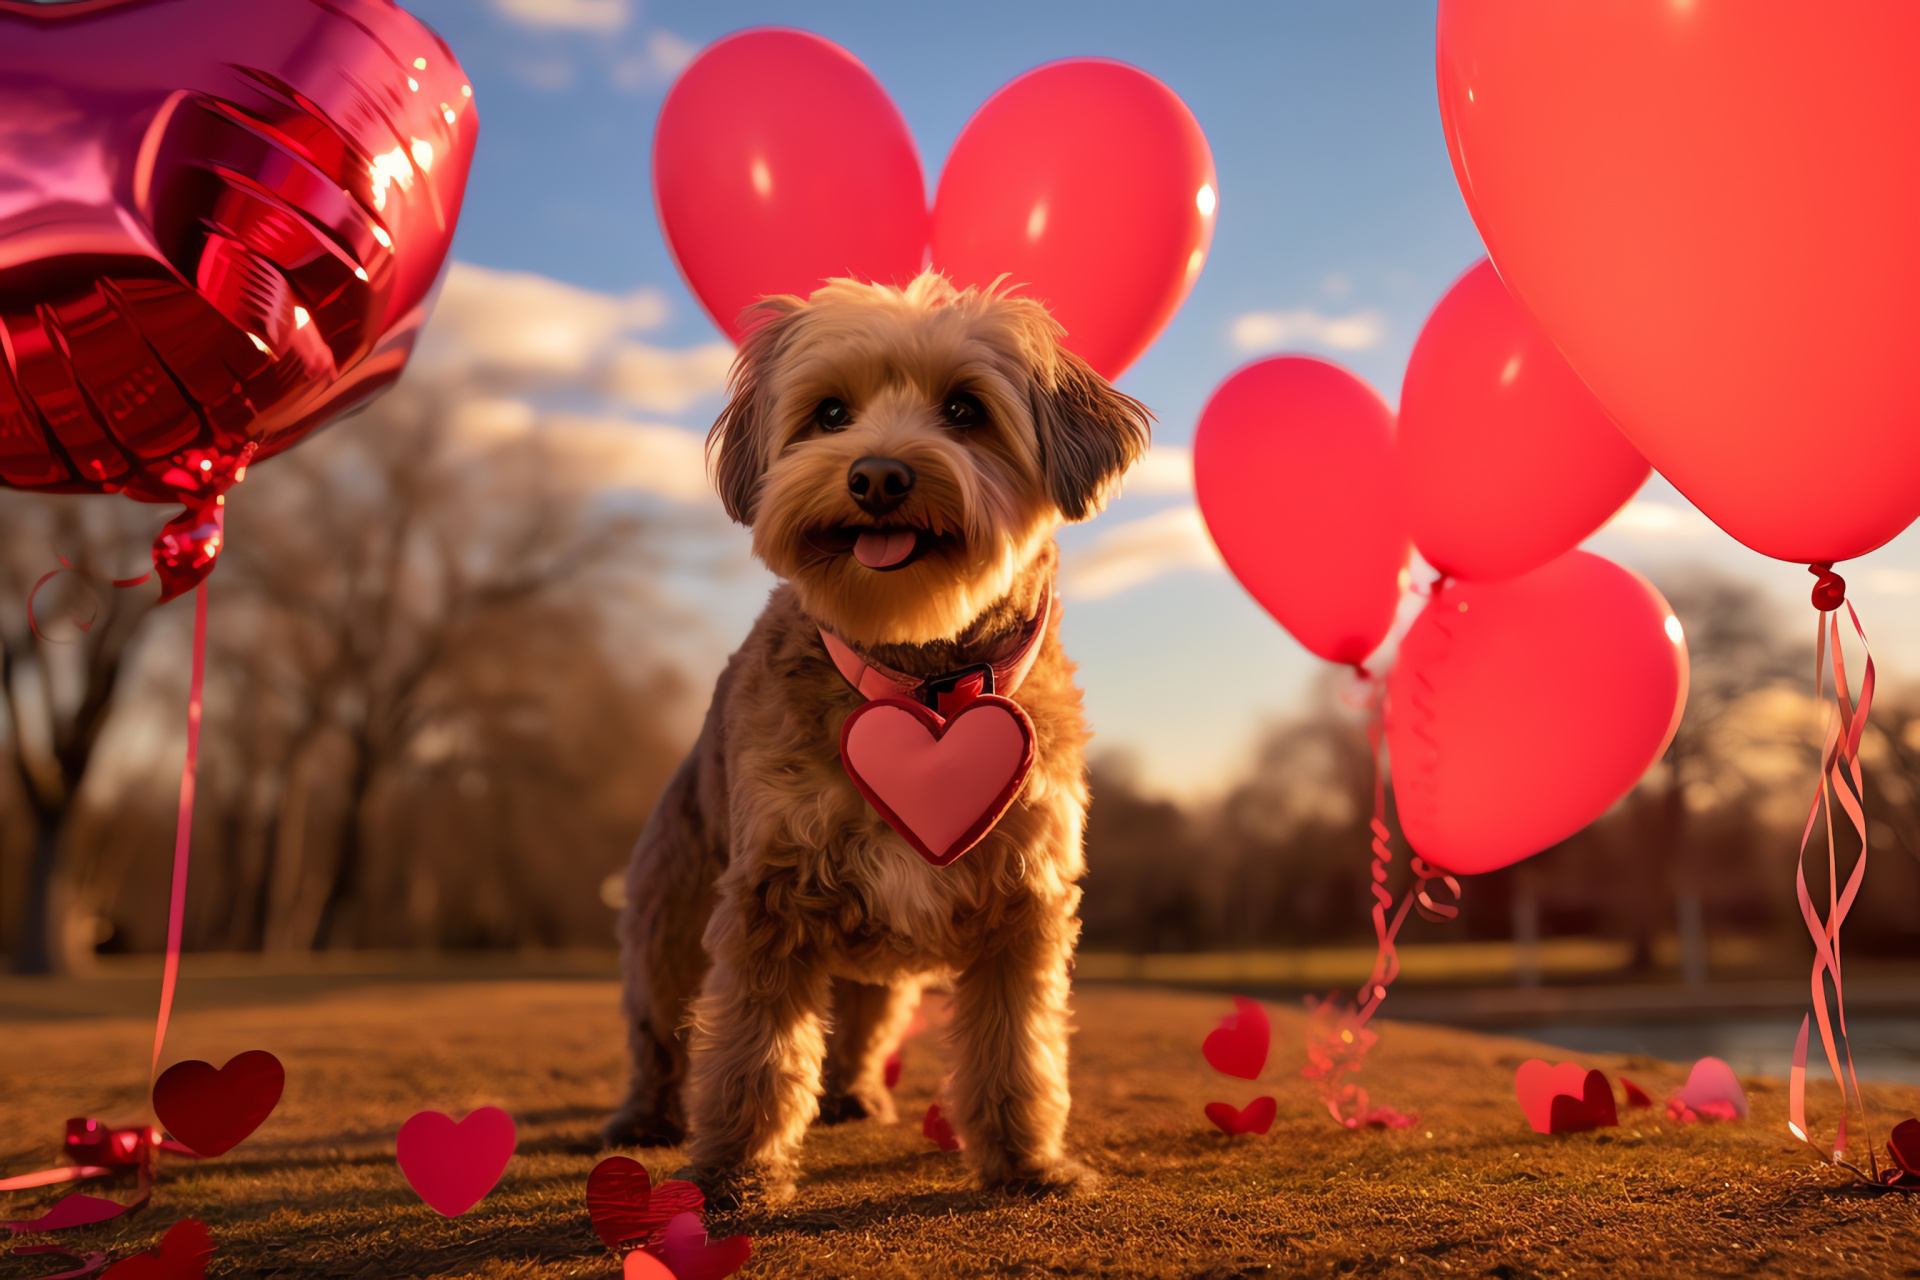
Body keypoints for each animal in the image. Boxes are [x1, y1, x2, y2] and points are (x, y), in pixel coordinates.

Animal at [599, 264, 1144, 1205]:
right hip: (667, 925)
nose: (878, 476)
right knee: (660, 1033)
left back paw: (853, 1095)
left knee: (860, 1020)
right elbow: (752, 1050)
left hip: (875, 967)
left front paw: (1028, 1165)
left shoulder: (1023, 901)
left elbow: (1018, 1049)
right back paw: (644, 1118)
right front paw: (733, 1177)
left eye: (965, 409)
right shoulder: (768, 897)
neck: (918, 675)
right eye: (829, 414)